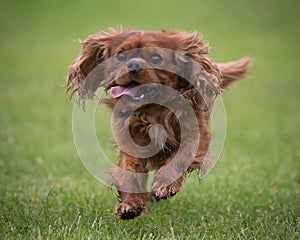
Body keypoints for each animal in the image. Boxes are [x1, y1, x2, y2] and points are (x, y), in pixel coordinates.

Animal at [66, 28, 251, 219]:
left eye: (156, 58)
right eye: (121, 55)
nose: (133, 65)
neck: (153, 113)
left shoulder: (196, 135)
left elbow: (179, 158)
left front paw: (165, 185)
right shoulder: (131, 141)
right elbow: (130, 171)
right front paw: (130, 204)